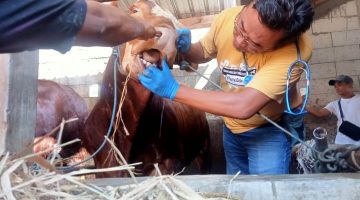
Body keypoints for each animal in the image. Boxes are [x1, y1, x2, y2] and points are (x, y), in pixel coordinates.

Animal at [81, 0, 211, 178]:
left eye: (177, 27)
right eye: (134, 10)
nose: (171, 36)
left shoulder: (168, 163)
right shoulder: (104, 166)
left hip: (205, 149)